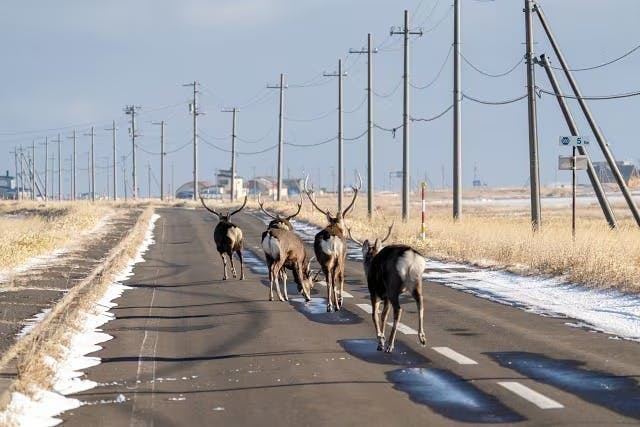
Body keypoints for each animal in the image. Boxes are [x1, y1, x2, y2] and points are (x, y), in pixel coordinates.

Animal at [304, 176, 360, 312]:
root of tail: (332, 240)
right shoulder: (343, 258)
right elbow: (341, 278)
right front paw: (340, 300)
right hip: (338, 258)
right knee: (335, 279)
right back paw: (336, 305)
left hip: (325, 260)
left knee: (329, 280)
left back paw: (329, 305)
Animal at [348, 224, 428, 354]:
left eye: (364, 256)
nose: (365, 264)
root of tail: (411, 256)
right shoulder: (386, 298)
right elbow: (384, 316)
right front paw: (381, 339)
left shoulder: (374, 292)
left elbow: (374, 315)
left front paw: (380, 339)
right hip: (416, 281)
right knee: (420, 303)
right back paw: (422, 337)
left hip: (392, 285)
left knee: (398, 309)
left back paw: (390, 345)